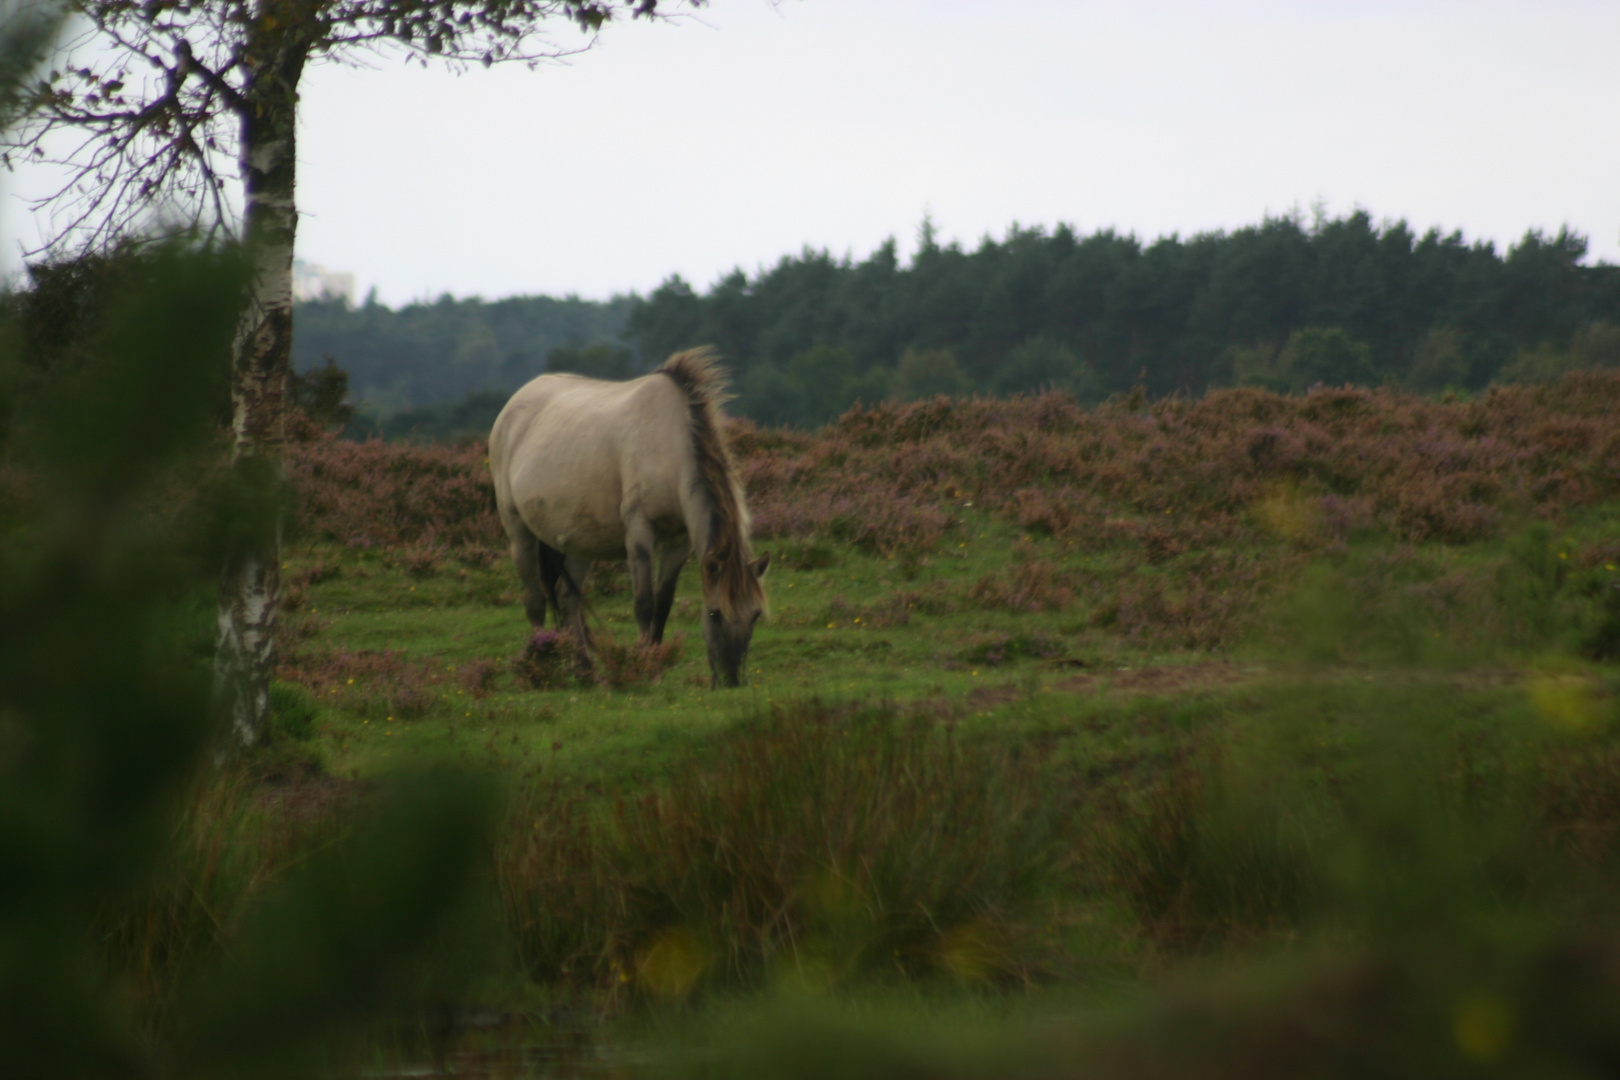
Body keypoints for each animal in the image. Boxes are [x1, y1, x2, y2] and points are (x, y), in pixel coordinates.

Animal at [486, 346, 771, 689]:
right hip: (519, 533)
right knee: (534, 602)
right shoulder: (639, 530)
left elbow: (663, 603)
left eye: (755, 615)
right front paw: (647, 667)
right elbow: (644, 603)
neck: (669, 445)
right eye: (715, 614)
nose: (731, 680)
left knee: (568, 600)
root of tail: (511, 407)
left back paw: (586, 672)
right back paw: (536, 668)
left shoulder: (679, 540)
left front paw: (656, 659)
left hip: (578, 541)